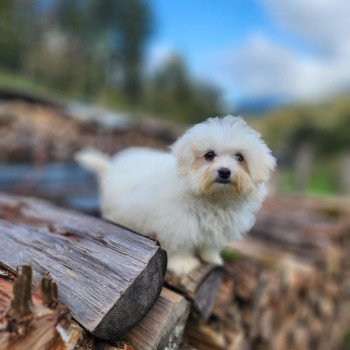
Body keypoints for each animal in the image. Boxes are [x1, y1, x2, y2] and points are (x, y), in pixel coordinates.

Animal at [76, 116, 276, 274]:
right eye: (209, 155)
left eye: (239, 157)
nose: (225, 171)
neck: (214, 199)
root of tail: (111, 167)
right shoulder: (179, 223)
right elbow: (180, 244)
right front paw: (183, 264)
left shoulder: (222, 226)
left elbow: (211, 243)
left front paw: (211, 257)